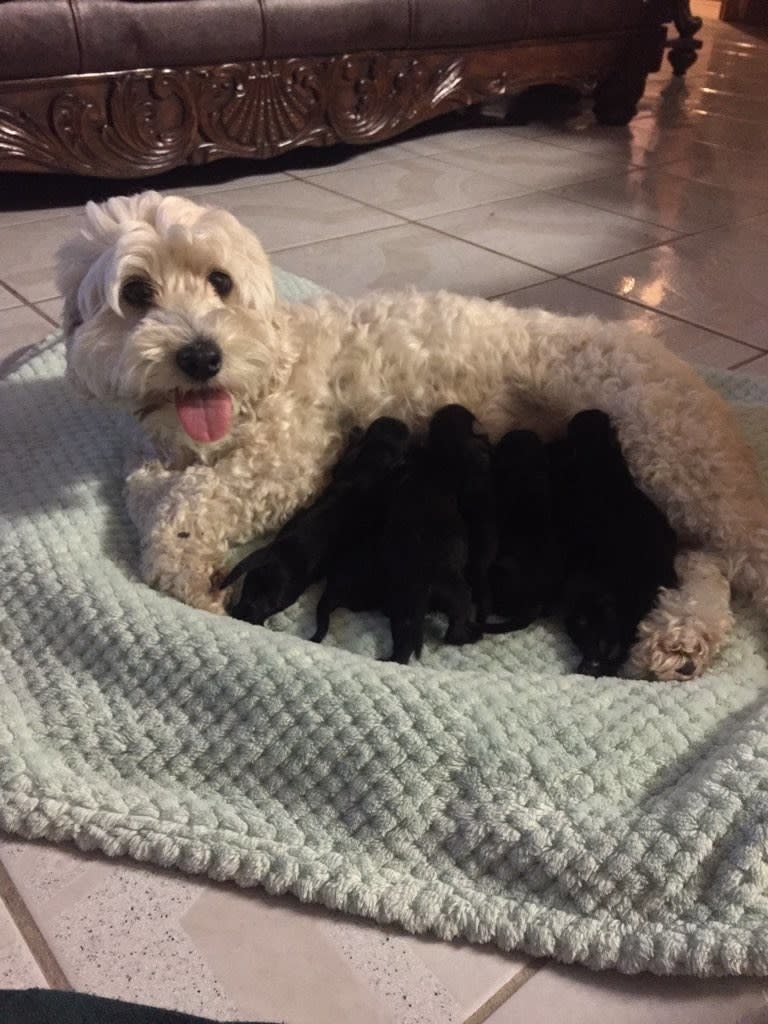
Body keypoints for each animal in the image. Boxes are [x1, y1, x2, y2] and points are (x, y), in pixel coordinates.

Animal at [221, 417, 410, 625]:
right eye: (403, 439)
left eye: (377, 430)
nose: (394, 420)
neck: (371, 464)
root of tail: (271, 552)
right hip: (282, 592)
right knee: (259, 607)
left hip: (255, 580)